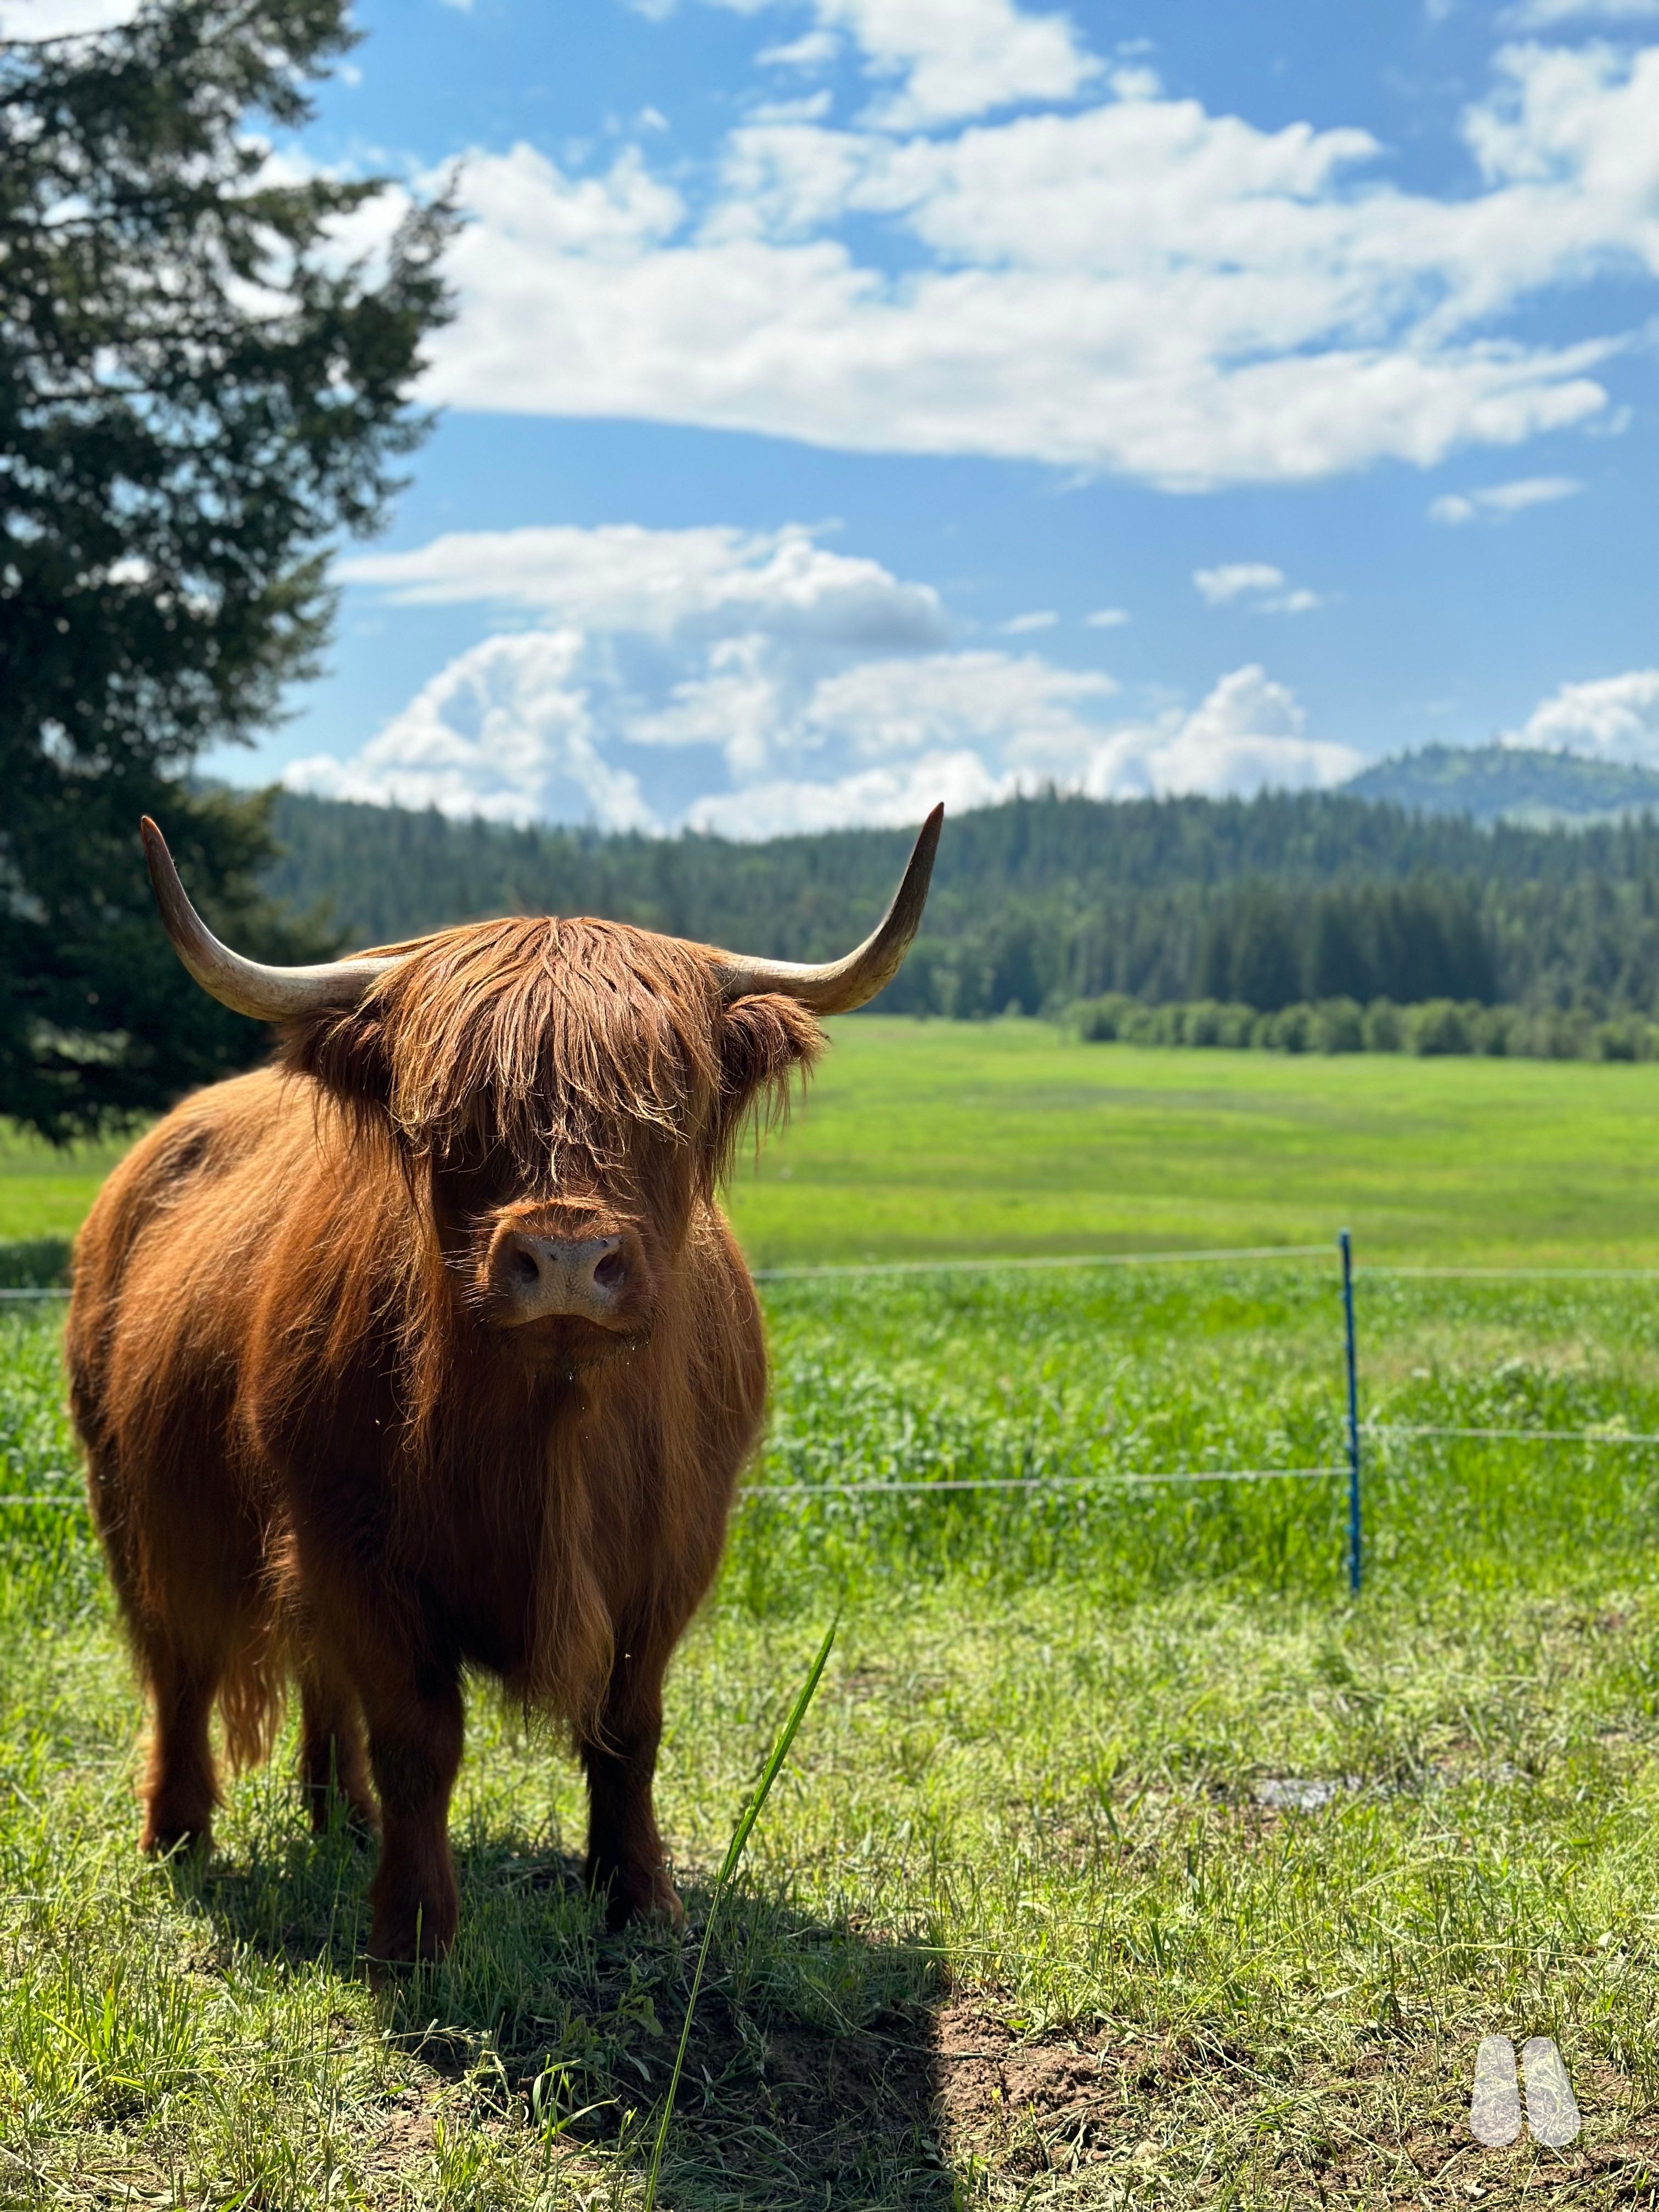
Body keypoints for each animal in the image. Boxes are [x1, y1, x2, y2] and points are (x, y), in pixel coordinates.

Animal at [66, 806, 940, 1960]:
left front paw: (638, 1896)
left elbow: (628, 1727)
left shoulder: (674, 1545)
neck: (552, 1421)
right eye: (456, 1116)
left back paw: (338, 1815)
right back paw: (178, 1834)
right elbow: (418, 1737)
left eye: (663, 1109)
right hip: (133, 1500)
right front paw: (415, 1934)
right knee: (178, 1662)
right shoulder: (350, 1541)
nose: (565, 1256)